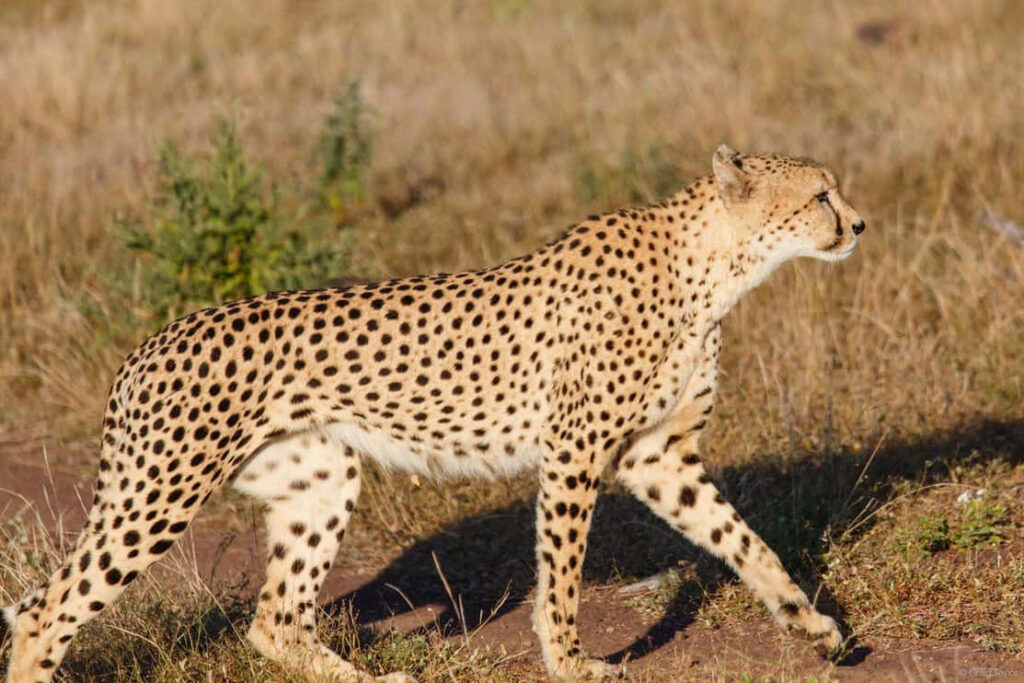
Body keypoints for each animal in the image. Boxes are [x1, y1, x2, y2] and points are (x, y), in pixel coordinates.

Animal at [2, 144, 865, 682]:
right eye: (819, 194)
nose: (858, 224)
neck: (715, 266)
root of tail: (147, 344)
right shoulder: (575, 452)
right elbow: (561, 574)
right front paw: (571, 660)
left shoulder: (659, 457)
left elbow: (745, 541)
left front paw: (813, 624)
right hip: (161, 490)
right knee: (48, 611)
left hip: (321, 474)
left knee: (273, 619)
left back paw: (371, 677)